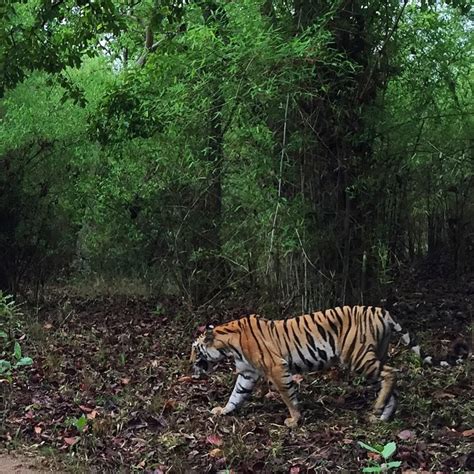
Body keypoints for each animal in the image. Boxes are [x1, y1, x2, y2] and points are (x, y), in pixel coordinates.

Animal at [189, 306, 466, 428]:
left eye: (195, 349)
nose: (190, 363)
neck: (228, 343)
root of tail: (382, 311)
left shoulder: (278, 368)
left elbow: (288, 395)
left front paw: (294, 420)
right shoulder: (247, 373)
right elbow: (236, 395)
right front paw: (223, 411)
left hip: (358, 357)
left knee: (392, 374)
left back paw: (378, 409)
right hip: (376, 355)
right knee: (391, 384)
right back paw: (382, 416)